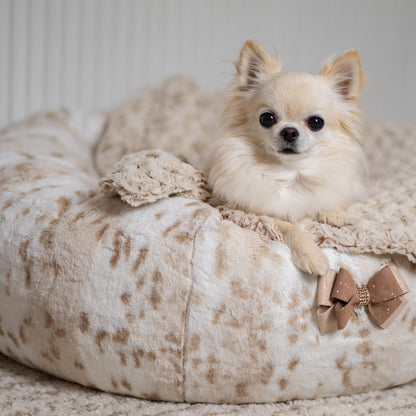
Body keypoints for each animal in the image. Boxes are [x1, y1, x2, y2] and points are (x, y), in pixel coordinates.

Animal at [208, 40, 368, 274]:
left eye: (316, 122)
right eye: (267, 118)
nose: (290, 131)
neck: (292, 172)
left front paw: (332, 212)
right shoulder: (255, 214)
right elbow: (290, 227)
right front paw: (313, 256)